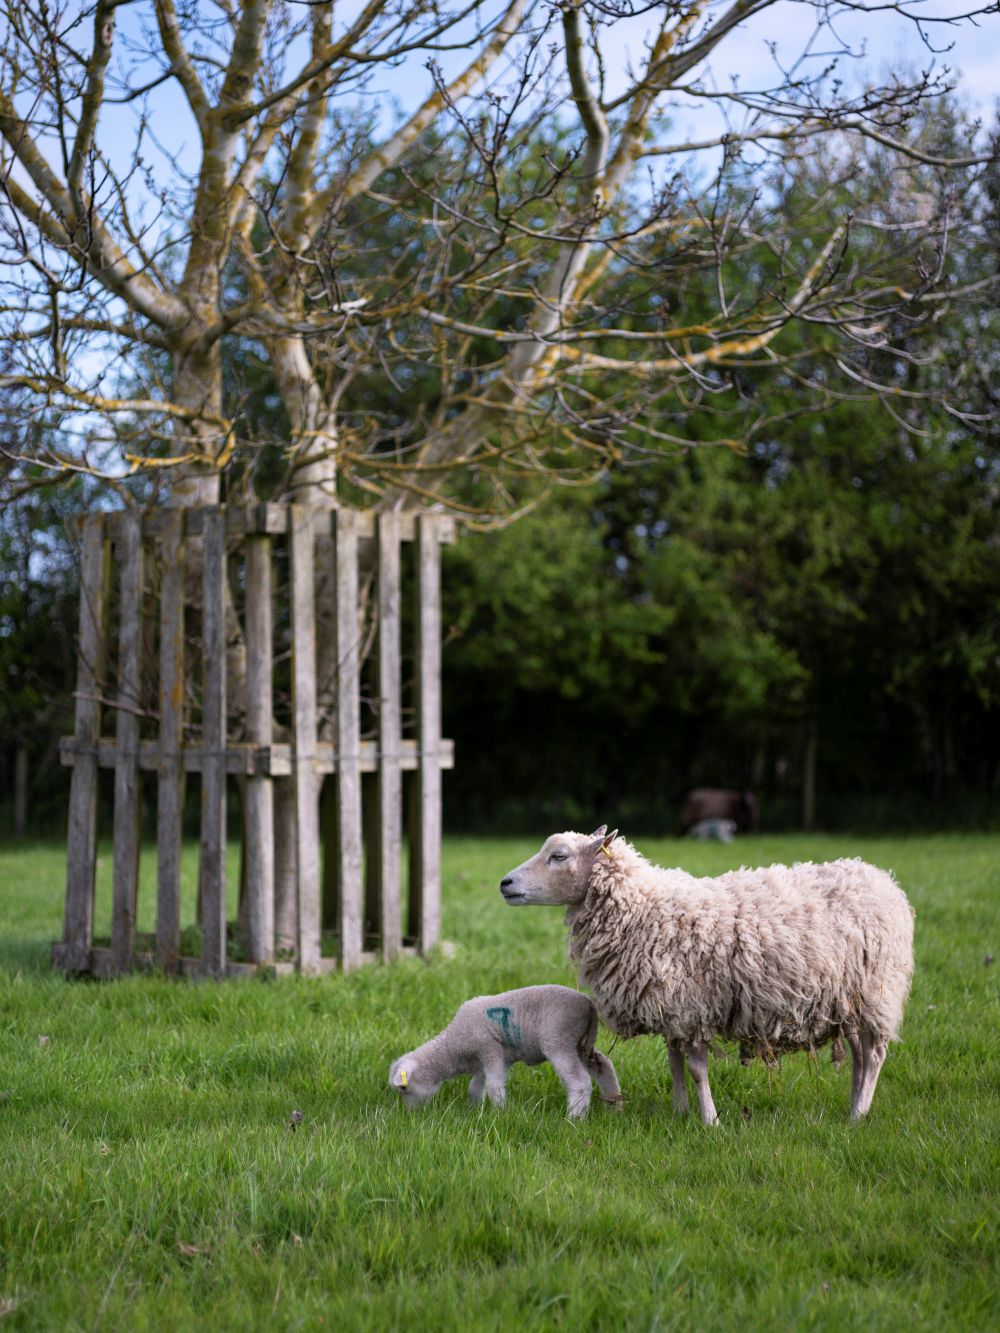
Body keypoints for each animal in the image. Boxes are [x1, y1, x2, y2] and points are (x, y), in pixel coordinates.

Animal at [388, 984, 622, 1119]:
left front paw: (499, 1113)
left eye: (404, 1089)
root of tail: (588, 1005)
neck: (453, 1045)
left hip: (559, 1040)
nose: (409, 1115)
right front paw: (473, 1110)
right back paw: (614, 1106)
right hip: (581, 1043)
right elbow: (475, 1087)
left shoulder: (489, 1049)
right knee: (604, 1065)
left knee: (580, 1081)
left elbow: (493, 1086)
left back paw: (575, 1119)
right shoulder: (483, 1061)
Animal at [499, 828, 914, 1124]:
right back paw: (853, 1103)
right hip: (848, 999)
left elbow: (697, 1069)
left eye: (559, 856)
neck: (645, 909)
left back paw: (859, 1114)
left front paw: (709, 1120)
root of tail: (883, 880)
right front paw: (679, 1111)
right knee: (859, 1053)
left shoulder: (691, 1006)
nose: (505, 883)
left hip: (878, 991)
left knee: (875, 1054)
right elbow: (674, 1061)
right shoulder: (669, 1006)